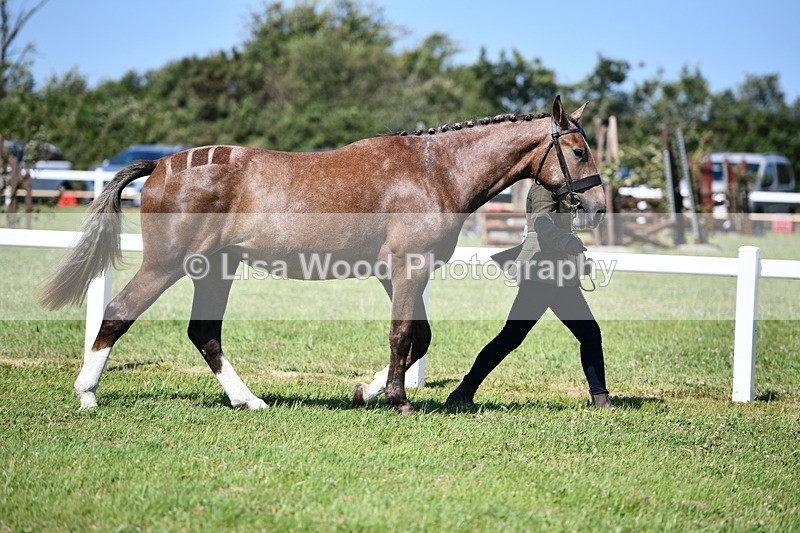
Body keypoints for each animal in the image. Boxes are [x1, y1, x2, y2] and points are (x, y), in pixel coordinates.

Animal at [40, 96, 606, 415]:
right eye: (579, 151)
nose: (598, 206)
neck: (435, 171)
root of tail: (160, 165)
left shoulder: (397, 274)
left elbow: (418, 338)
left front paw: (366, 392)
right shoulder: (409, 268)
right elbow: (404, 335)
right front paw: (397, 401)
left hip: (214, 269)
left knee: (205, 334)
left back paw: (249, 401)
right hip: (166, 266)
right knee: (118, 313)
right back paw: (87, 395)